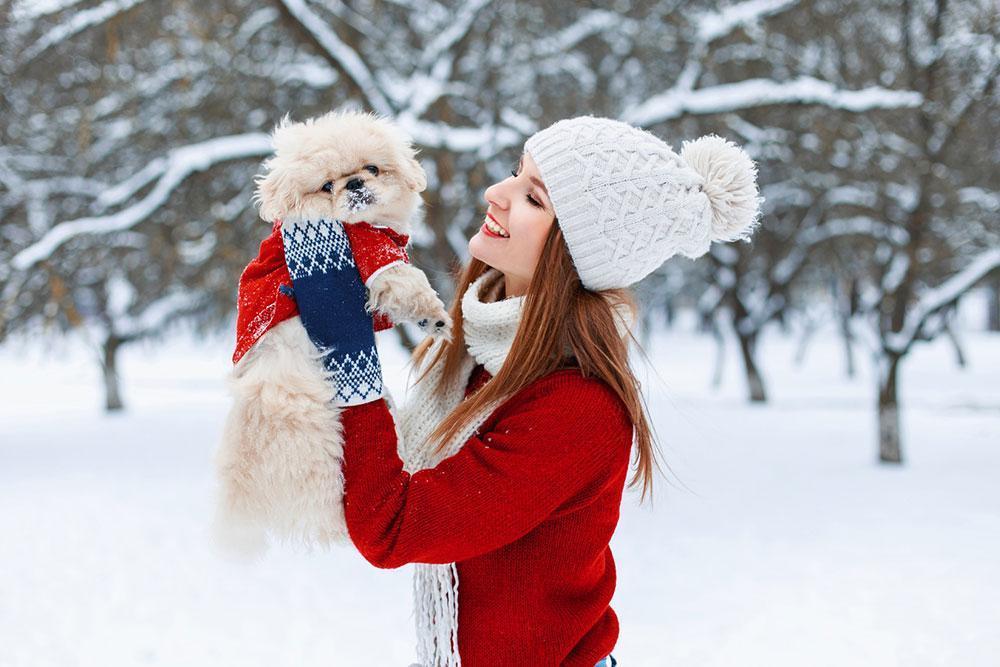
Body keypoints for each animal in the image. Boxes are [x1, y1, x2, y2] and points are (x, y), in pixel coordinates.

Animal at [214, 111, 450, 560]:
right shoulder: (374, 254)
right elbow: (408, 282)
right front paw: (437, 318)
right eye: (326, 186)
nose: (353, 184)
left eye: (371, 169)